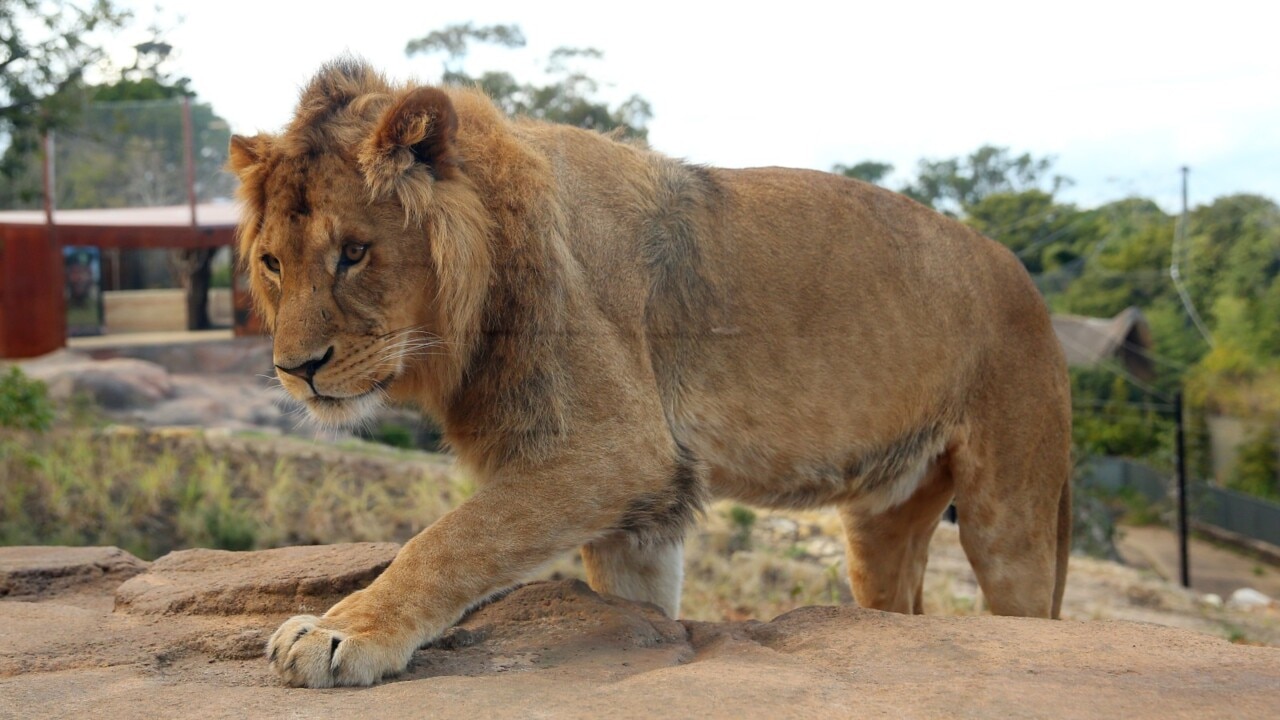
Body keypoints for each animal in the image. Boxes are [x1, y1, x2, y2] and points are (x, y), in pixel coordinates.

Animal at [227, 58, 1070, 686]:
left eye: (354, 253)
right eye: (273, 263)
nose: (295, 370)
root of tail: (1024, 276)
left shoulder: (620, 451)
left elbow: (451, 539)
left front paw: (337, 633)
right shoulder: (641, 513)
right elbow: (635, 604)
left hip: (1012, 511)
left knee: (1025, 604)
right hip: (880, 522)